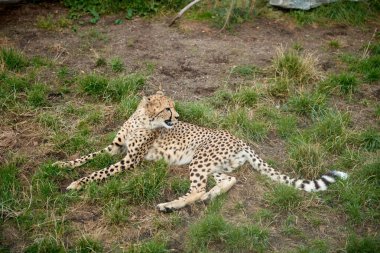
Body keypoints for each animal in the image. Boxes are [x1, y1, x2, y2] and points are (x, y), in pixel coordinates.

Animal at [53, 90, 348, 211]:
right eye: (167, 108)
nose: (178, 116)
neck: (143, 120)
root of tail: (239, 139)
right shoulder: (114, 148)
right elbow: (88, 157)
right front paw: (60, 166)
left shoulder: (130, 160)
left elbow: (99, 172)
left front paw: (77, 183)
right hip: (214, 165)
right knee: (228, 180)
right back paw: (210, 196)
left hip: (200, 159)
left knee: (196, 189)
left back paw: (169, 205)